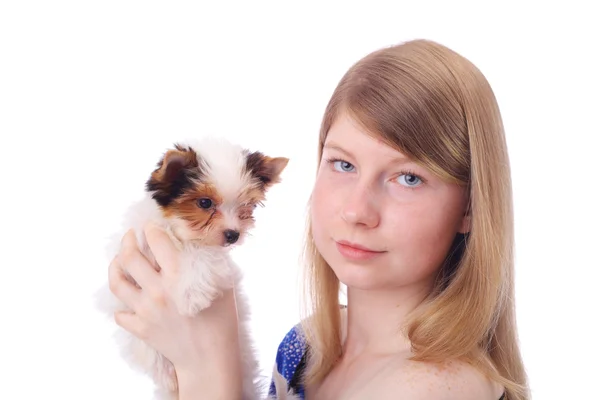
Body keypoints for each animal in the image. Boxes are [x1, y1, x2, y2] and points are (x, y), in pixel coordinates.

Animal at [96, 136, 288, 398]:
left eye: (246, 206)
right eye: (205, 203)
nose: (233, 235)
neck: (180, 235)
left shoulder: (216, 260)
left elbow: (201, 256)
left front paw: (191, 294)